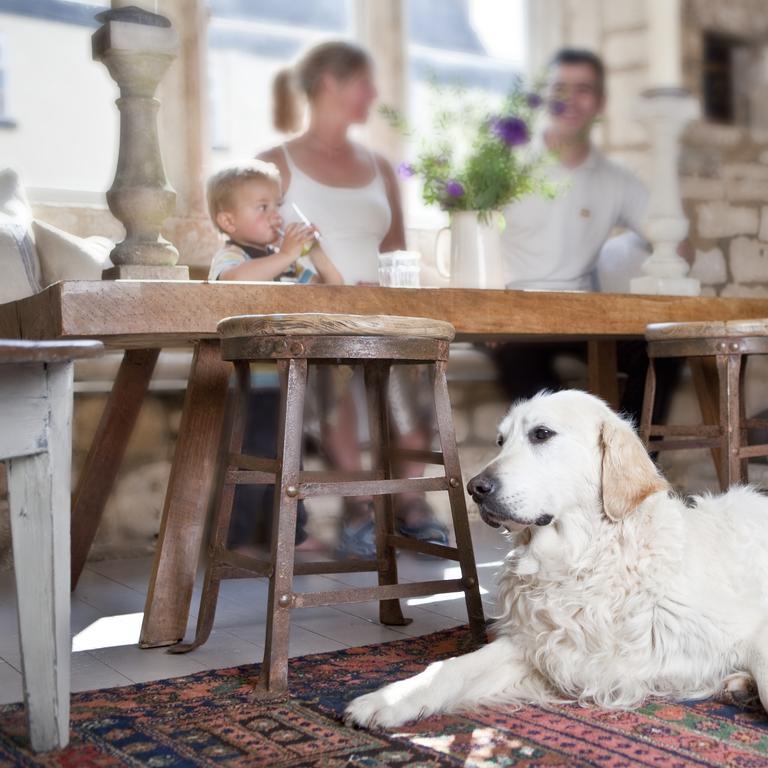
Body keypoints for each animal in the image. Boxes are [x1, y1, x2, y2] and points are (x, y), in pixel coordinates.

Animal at [344, 390, 768, 728]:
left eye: (541, 434)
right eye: (501, 440)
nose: (475, 487)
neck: (584, 560)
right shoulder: (537, 645)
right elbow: (448, 668)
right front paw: (388, 699)